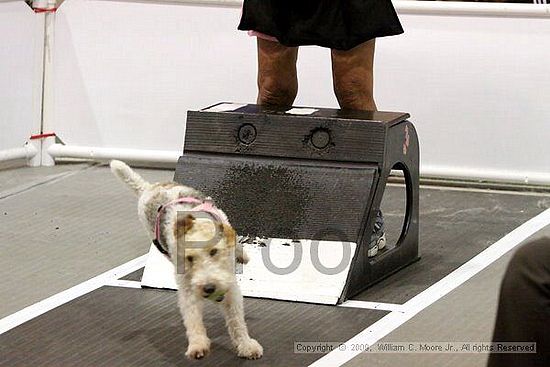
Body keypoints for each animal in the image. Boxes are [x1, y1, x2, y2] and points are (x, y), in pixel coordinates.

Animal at [110, 160, 266, 360]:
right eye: (190, 258)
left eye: (214, 251)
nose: (209, 288)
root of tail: (149, 188)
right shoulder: (187, 287)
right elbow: (192, 318)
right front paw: (198, 346)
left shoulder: (231, 286)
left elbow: (236, 320)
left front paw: (246, 345)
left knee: (235, 239)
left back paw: (242, 255)